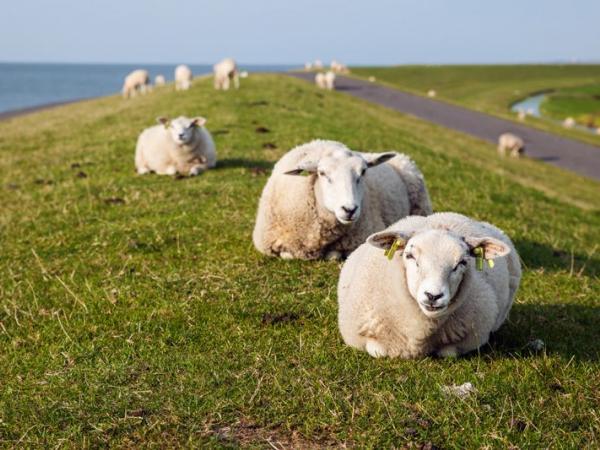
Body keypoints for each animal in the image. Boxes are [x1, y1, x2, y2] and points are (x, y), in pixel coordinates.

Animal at [338, 211, 520, 358]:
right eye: (410, 256)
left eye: (462, 262)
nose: (433, 296)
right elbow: (378, 351)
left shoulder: (473, 337)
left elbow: (448, 353)